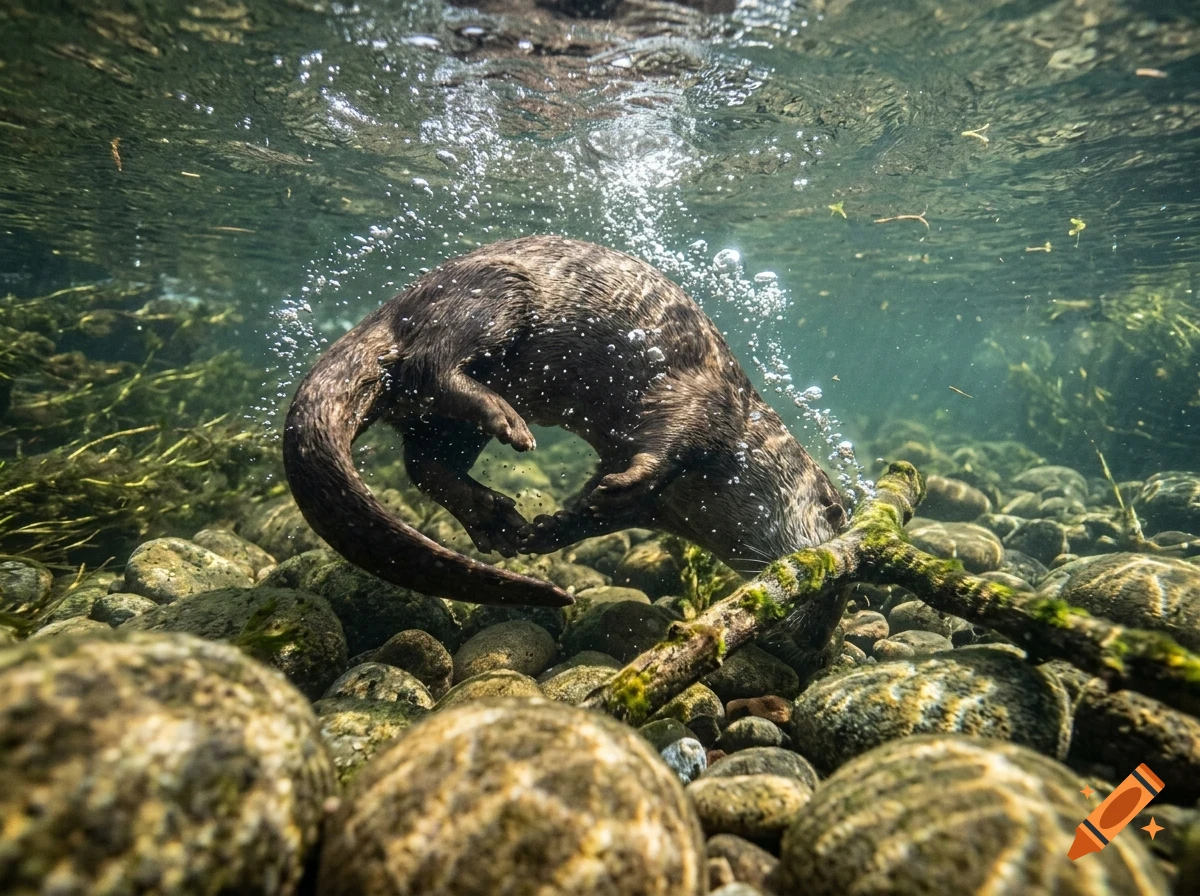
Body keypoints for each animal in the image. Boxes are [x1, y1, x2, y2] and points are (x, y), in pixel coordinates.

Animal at [283, 236, 846, 607]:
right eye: (837, 515)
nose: (822, 633)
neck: (744, 434)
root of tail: (387, 314)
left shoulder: (658, 507)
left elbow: (596, 511)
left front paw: (547, 530)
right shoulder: (701, 403)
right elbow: (663, 449)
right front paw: (620, 485)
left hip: (447, 423)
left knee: (423, 460)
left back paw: (494, 517)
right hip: (496, 293)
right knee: (431, 363)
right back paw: (508, 424)